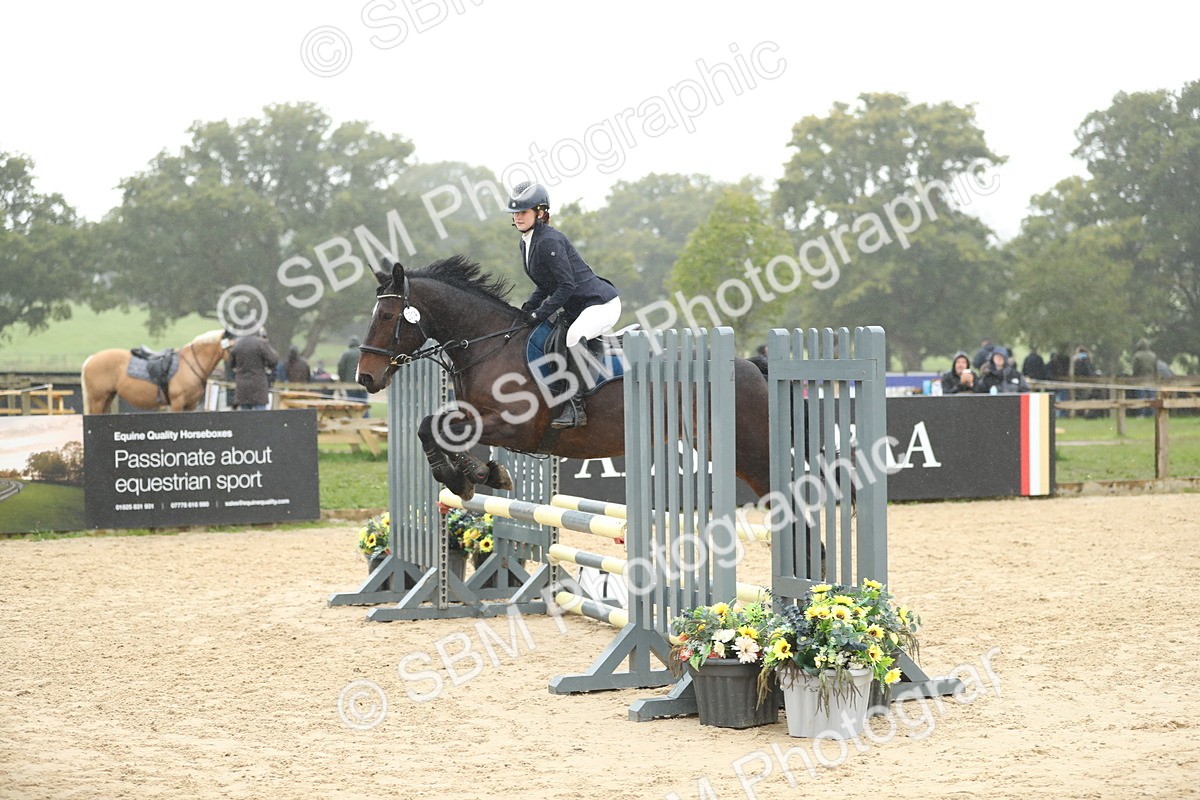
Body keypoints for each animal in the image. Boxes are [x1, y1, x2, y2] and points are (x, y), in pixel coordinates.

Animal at [81, 329, 232, 414]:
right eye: (231, 345)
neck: (189, 364)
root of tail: (91, 359)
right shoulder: (177, 403)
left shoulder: (190, 405)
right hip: (97, 399)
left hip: (107, 398)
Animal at [354, 256, 773, 502]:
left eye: (388, 316)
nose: (365, 378)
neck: (491, 344)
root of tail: (752, 366)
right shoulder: (472, 414)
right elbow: (430, 426)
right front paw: (479, 474)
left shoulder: (516, 427)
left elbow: (436, 428)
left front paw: (465, 477)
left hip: (749, 451)